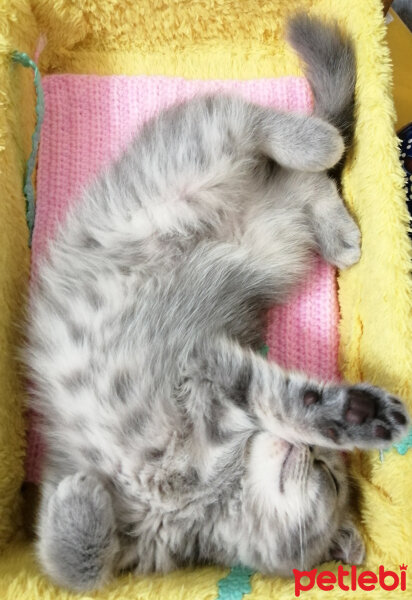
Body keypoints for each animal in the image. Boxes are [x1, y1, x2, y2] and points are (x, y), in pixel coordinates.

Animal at [25, 12, 408, 592]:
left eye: (326, 473)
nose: (310, 452)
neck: (207, 495)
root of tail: (242, 210)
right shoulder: (205, 362)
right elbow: (77, 570)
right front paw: (82, 496)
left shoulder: (211, 366)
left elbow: (286, 400)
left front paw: (351, 416)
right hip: (185, 172)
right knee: (240, 120)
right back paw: (315, 143)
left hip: (273, 245)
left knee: (302, 184)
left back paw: (336, 225)